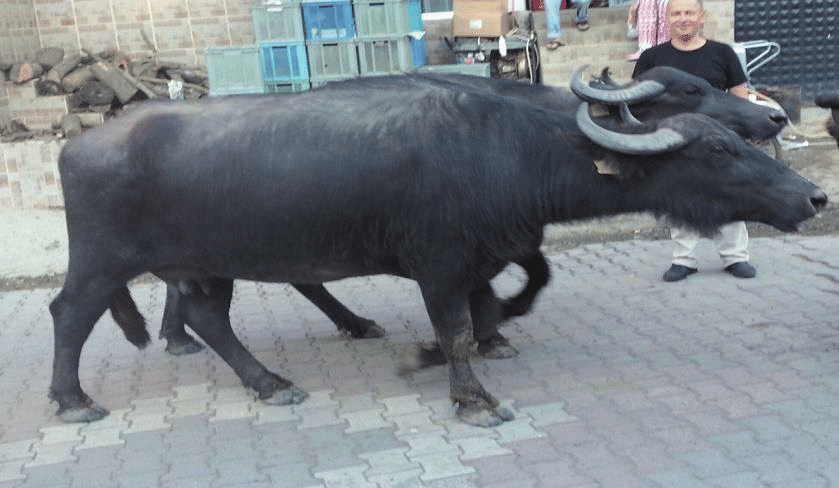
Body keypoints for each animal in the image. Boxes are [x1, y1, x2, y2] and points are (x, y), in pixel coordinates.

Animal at [49, 76, 825, 426]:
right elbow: (455, 330)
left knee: (209, 319)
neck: (508, 150)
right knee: (70, 315)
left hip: (207, 265)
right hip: (102, 262)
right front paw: (470, 394)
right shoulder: (442, 267)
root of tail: (81, 144)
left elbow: (504, 297)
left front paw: (483, 343)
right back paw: (72, 399)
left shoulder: (488, 254)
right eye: (718, 150)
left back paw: (270, 382)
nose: (815, 198)